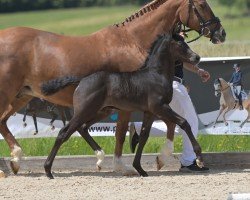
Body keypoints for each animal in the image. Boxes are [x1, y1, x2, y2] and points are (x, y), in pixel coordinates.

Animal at [0, 0, 226, 174]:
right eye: (201, 4)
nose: (221, 33)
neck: (132, 40)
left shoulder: (144, 106)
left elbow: (156, 129)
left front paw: (158, 159)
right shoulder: (135, 105)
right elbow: (122, 132)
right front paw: (124, 166)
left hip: (24, 95)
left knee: (4, 122)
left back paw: (17, 160)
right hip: (11, 93)